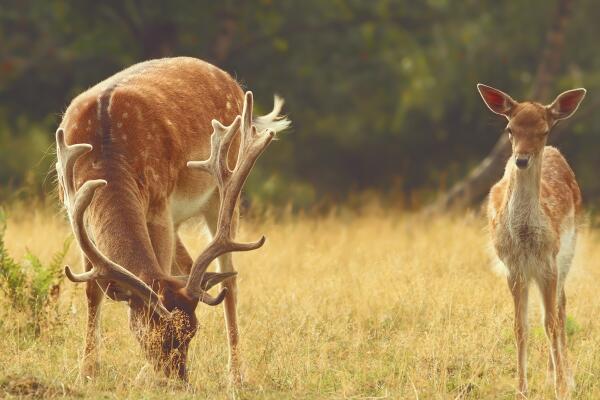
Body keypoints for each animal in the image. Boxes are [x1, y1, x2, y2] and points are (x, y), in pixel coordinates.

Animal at [55, 56, 290, 382]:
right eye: (150, 335)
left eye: (192, 332)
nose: (178, 381)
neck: (106, 154)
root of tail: (230, 80)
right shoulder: (73, 208)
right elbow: (93, 289)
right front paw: (87, 372)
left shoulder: (159, 204)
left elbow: (159, 271)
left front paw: (137, 374)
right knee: (192, 267)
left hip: (221, 195)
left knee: (230, 280)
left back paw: (235, 374)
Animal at [478, 83, 584, 398]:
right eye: (510, 128)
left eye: (544, 130)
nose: (521, 160)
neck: (525, 238)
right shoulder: (513, 268)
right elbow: (520, 326)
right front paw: (521, 388)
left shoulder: (549, 261)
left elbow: (551, 323)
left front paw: (562, 387)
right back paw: (550, 377)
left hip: (567, 255)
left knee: (560, 310)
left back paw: (564, 378)